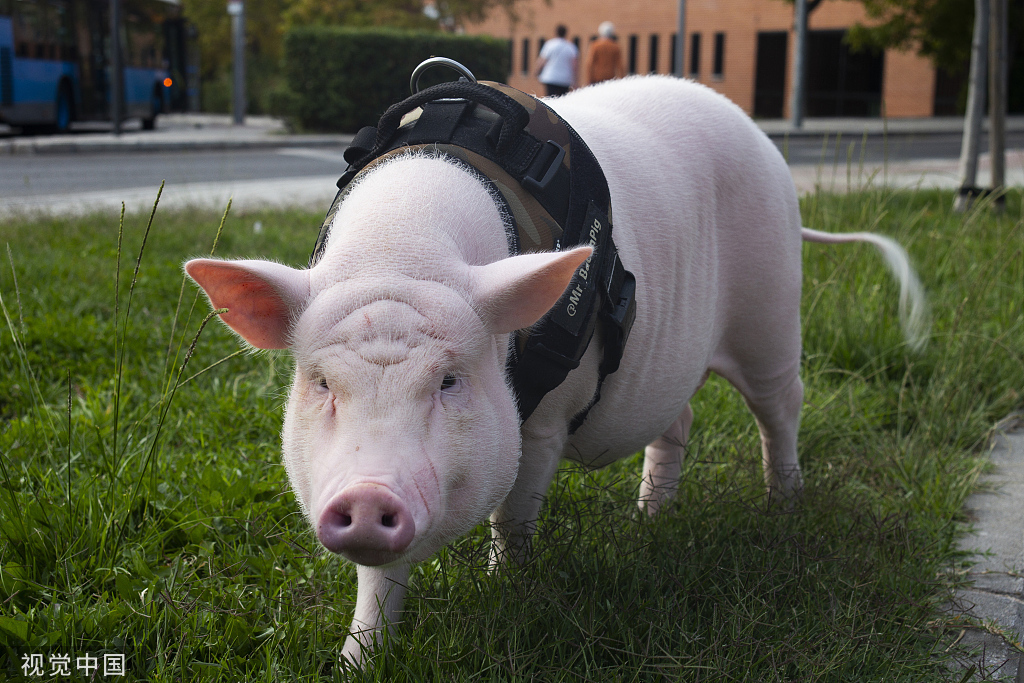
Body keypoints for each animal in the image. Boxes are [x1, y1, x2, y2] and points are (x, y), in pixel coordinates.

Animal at [184, 76, 929, 667]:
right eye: (321, 384)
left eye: (450, 380)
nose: (368, 497)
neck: (399, 257)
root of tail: (760, 138)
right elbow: (379, 577)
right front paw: (356, 662)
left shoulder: (541, 422)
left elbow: (513, 518)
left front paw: (506, 591)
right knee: (680, 417)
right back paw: (649, 521)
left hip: (773, 310)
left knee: (781, 407)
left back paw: (783, 508)